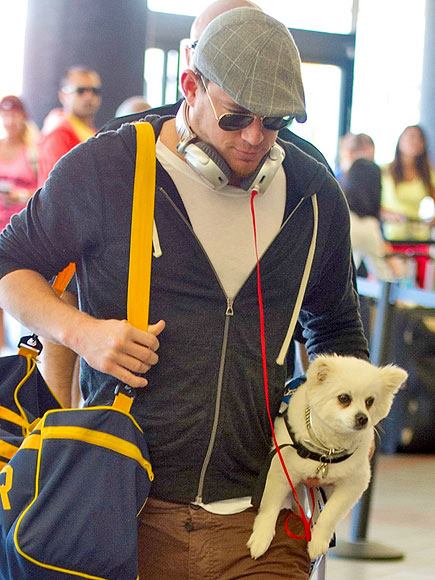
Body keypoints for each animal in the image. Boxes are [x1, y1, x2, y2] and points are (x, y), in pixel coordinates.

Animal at [249, 354, 408, 560]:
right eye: (344, 398)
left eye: (370, 401)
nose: (363, 418)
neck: (328, 449)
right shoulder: (278, 470)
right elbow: (269, 507)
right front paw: (261, 537)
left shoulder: (353, 484)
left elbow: (329, 515)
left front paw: (318, 541)